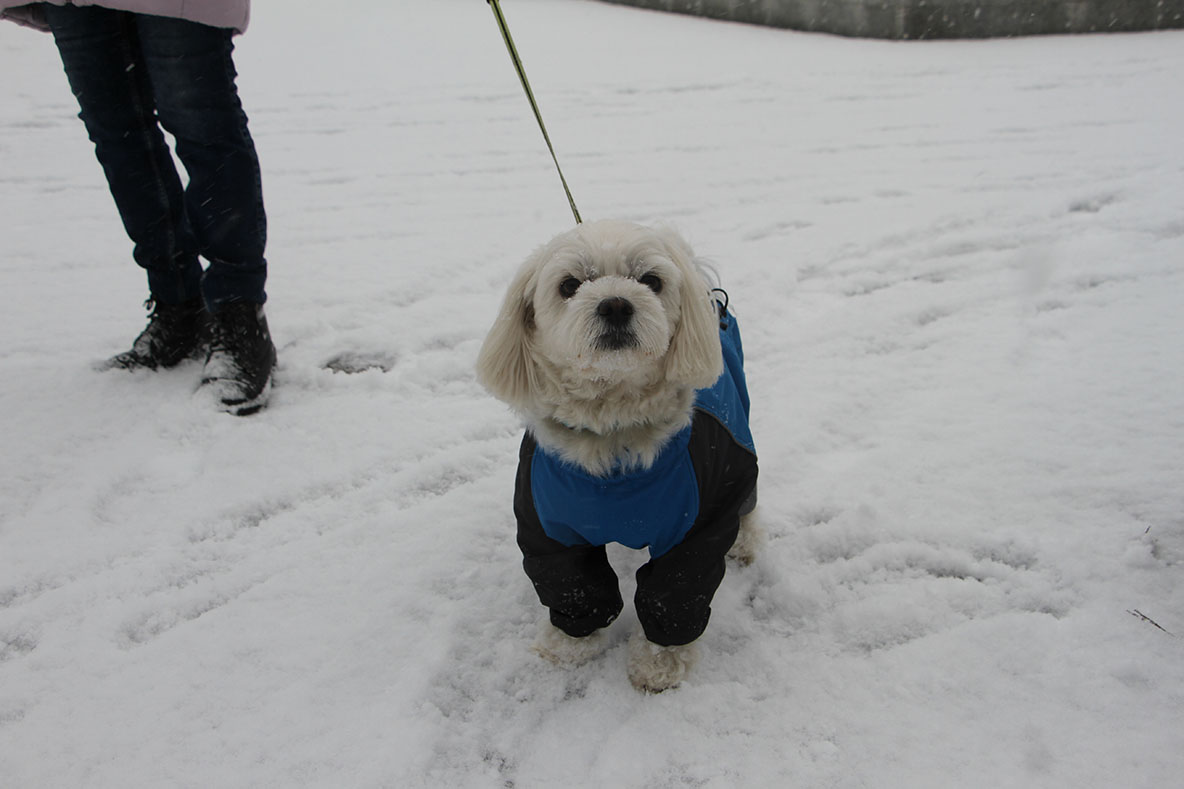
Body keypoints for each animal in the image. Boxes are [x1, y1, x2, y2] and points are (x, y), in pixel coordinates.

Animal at [475, 219, 753, 687]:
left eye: (652, 281)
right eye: (569, 285)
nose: (617, 305)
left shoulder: (698, 524)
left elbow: (676, 591)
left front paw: (660, 661)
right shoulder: (548, 526)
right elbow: (572, 584)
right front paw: (569, 644)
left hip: (738, 455)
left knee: (748, 501)